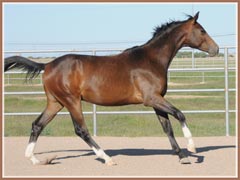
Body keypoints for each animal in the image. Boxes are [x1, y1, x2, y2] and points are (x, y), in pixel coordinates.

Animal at [4, 11, 218, 165]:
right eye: (202, 31)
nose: (216, 49)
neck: (151, 60)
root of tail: (47, 65)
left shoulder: (157, 101)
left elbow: (167, 128)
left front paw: (182, 156)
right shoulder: (152, 99)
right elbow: (180, 114)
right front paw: (192, 148)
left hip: (56, 102)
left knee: (37, 125)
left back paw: (34, 159)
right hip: (71, 101)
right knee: (81, 130)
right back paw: (106, 158)